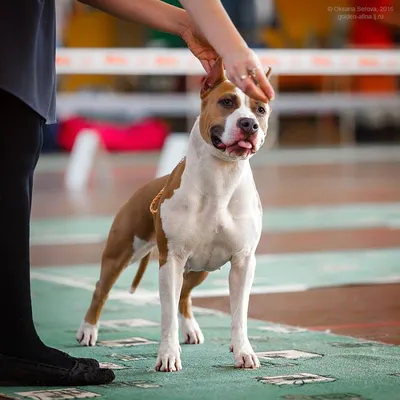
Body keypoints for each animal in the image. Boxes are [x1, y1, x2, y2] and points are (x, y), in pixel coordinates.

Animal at [76, 58, 272, 372]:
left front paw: (243, 351)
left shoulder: (243, 261)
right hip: (121, 252)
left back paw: (191, 329)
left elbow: (239, 314)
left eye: (261, 109)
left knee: (185, 295)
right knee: (100, 289)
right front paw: (168, 355)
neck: (220, 179)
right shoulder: (171, 261)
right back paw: (88, 330)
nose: (249, 124)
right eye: (227, 101)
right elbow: (167, 317)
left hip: (201, 268)